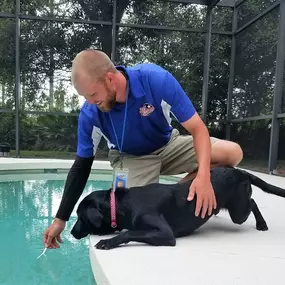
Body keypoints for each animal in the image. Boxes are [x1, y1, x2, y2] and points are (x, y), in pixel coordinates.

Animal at [70, 166, 284, 248]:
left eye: (81, 217)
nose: (71, 232)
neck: (121, 204)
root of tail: (241, 172)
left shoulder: (165, 233)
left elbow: (128, 233)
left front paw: (108, 242)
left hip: (238, 212)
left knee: (253, 203)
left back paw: (262, 223)